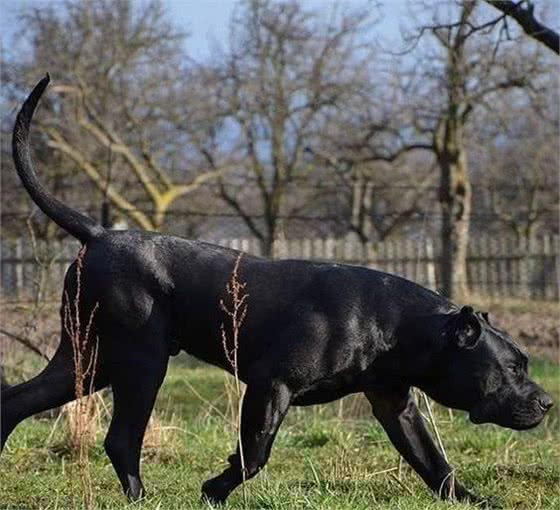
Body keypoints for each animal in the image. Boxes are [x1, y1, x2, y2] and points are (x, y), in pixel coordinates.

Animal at [0, 76, 552, 506]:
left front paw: (474, 500)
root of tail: (98, 234)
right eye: (512, 368)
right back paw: (140, 497)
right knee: (120, 438)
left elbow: (436, 465)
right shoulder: (271, 386)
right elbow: (255, 454)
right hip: (140, 363)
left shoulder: (397, 406)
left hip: (87, 358)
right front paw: (214, 488)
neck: (399, 327)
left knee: (17, 400)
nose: (547, 402)